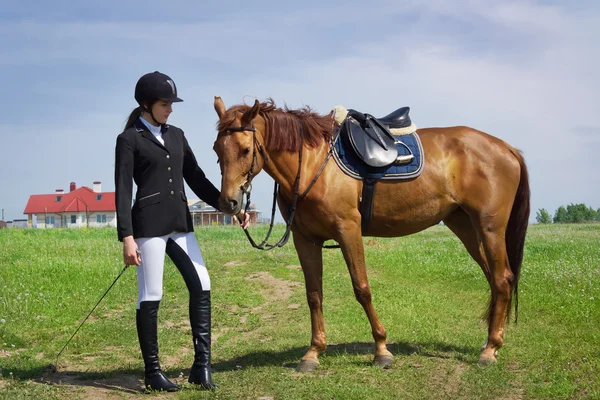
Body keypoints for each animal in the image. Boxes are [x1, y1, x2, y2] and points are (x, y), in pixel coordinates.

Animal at [211, 95, 528, 370]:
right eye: (217, 150)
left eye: (246, 150)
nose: (228, 203)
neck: (314, 163)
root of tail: (506, 147)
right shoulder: (306, 240)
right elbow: (314, 294)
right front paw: (313, 353)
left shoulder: (348, 229)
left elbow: (362, 289)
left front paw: (382, 350)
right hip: (465, 226)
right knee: (495, 279)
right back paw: (491, 343)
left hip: (489, 227)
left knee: (502, 279)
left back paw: (489, 349)